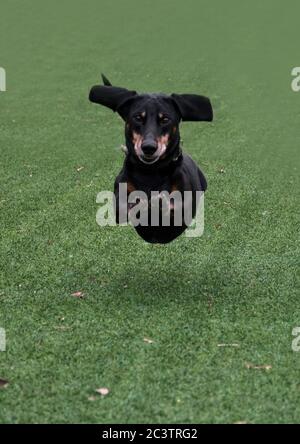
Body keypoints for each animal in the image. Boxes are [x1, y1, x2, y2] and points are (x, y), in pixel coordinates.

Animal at [89, 75, 213, 245]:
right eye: (137, 118)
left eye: (165, 119)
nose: (148, 147)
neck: (150, 171)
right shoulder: (120, 198)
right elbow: (126, 206)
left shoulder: (183, 210)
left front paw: (158, 203)